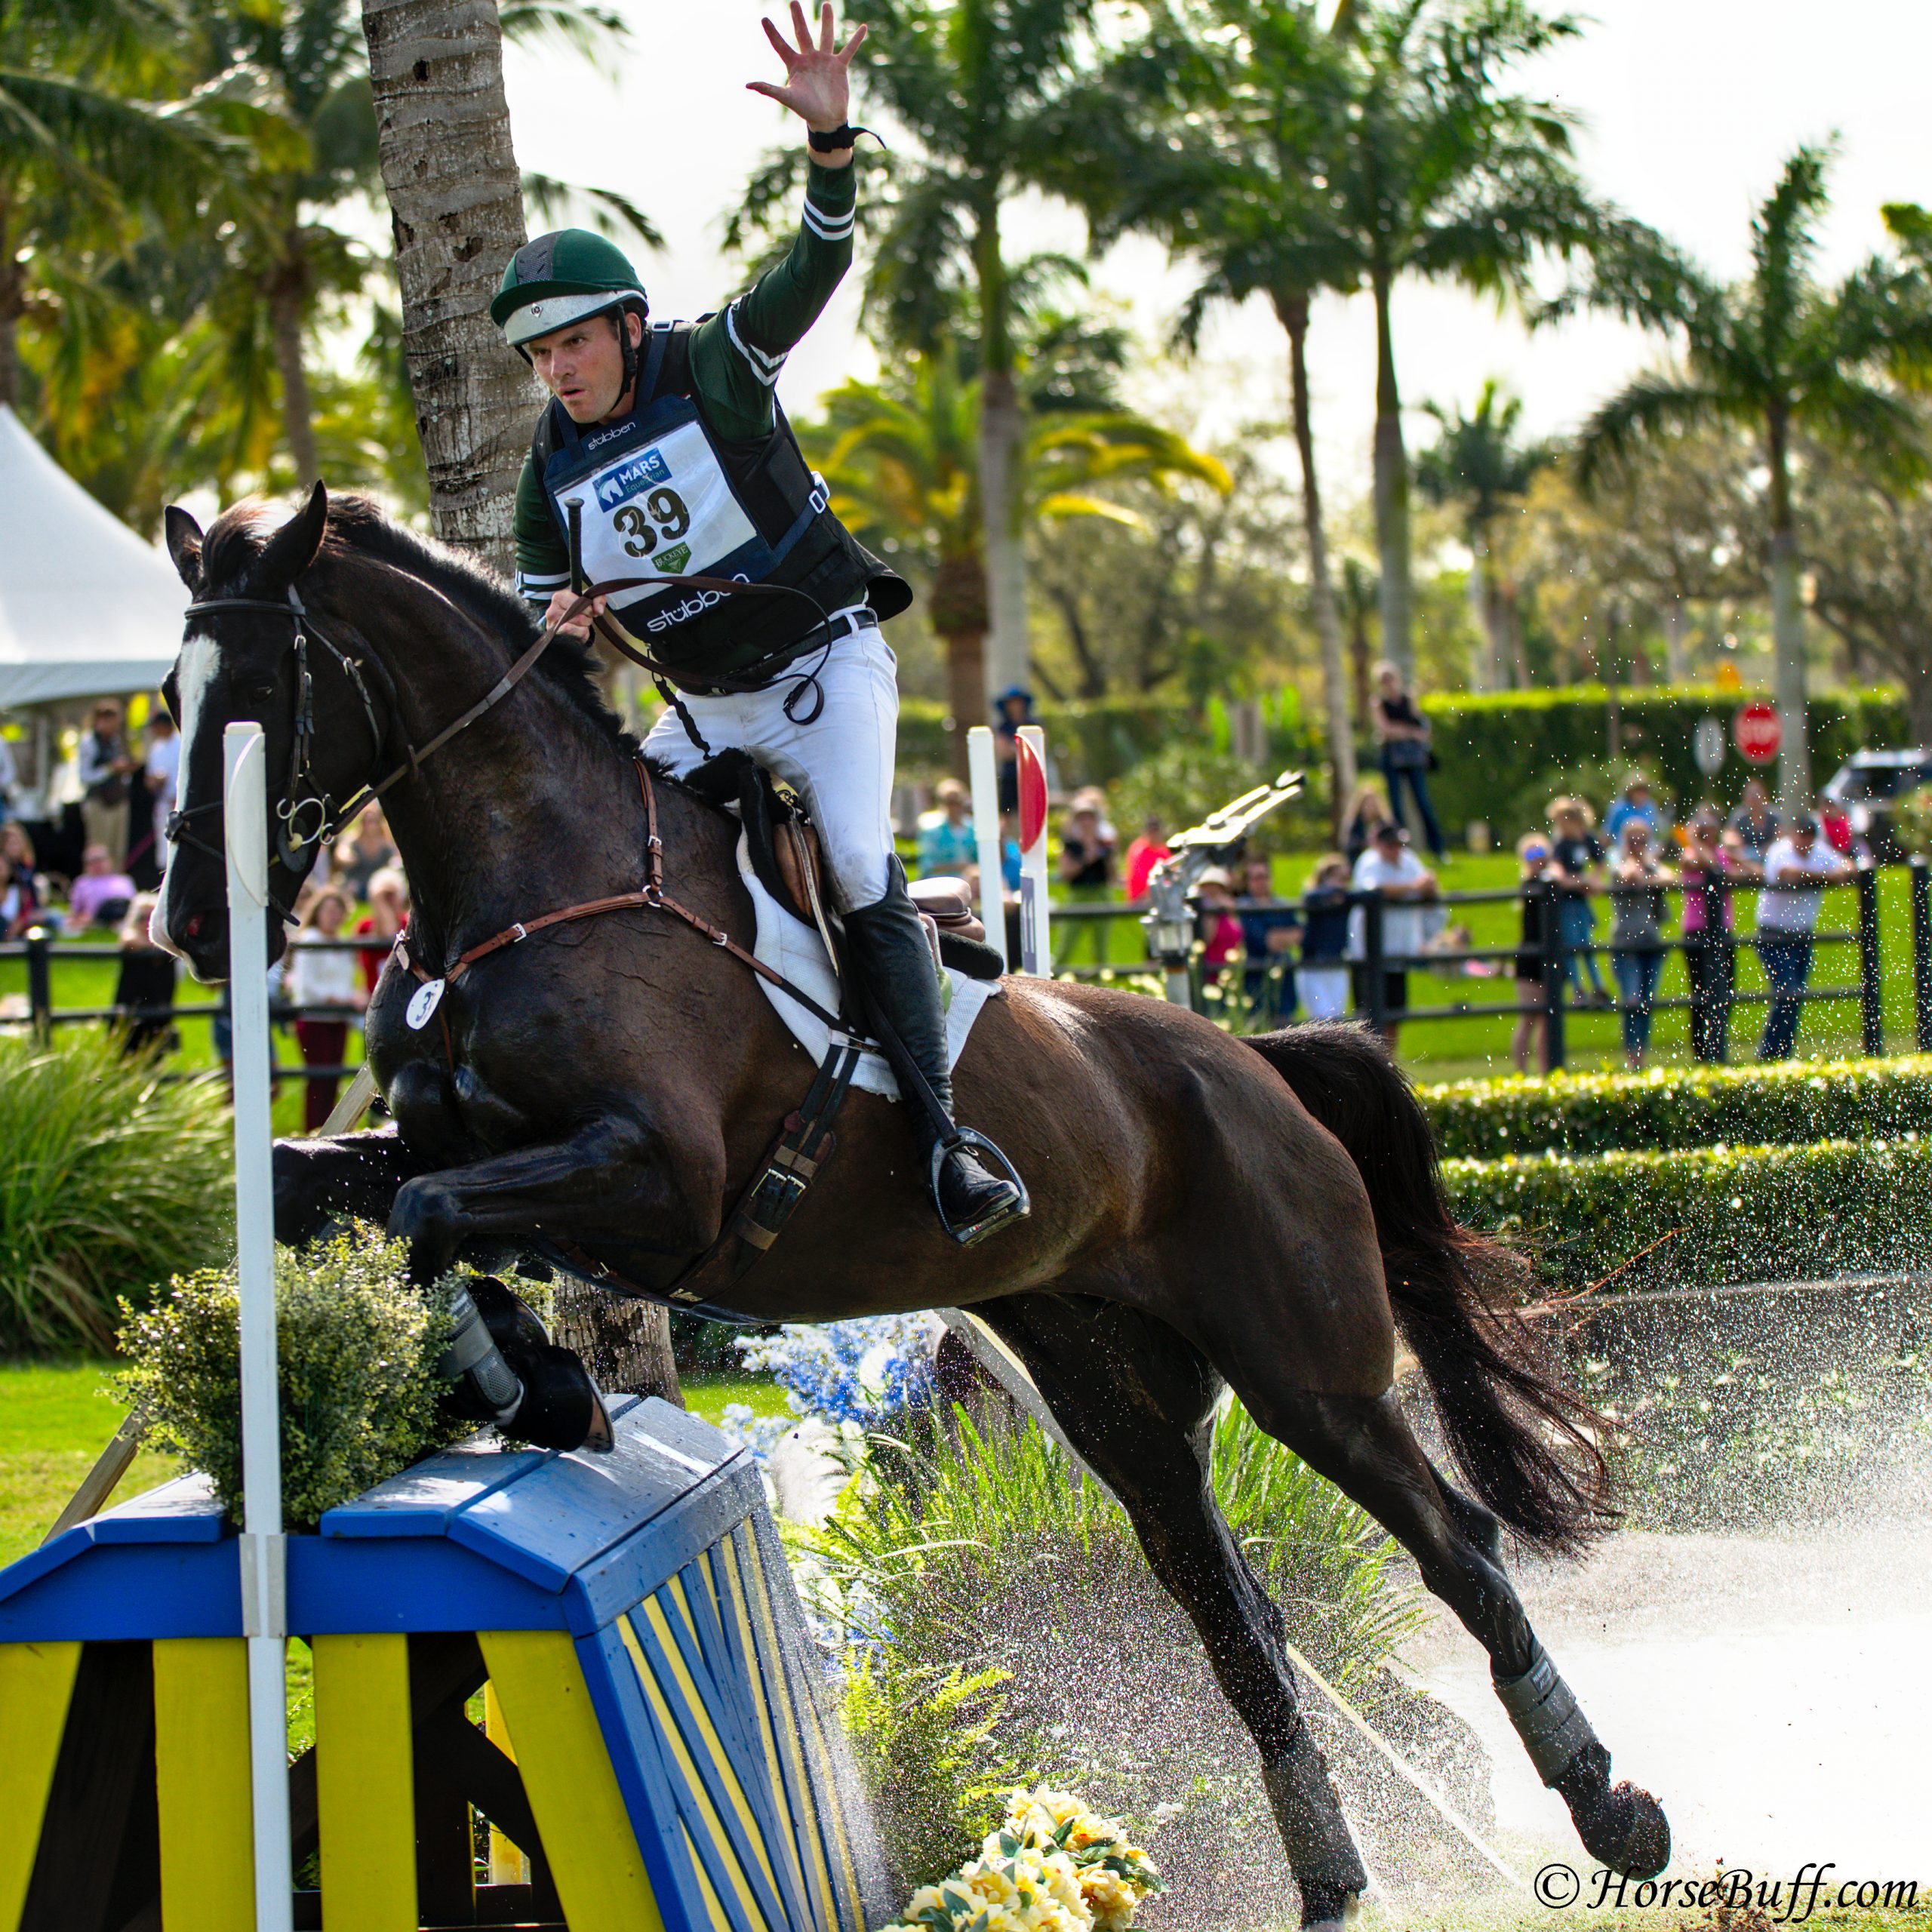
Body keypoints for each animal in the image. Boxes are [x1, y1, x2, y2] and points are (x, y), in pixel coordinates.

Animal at [150, 487, 1669, 1932]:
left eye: (260, 689)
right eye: (168, 698)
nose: (189, 927)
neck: (539, 878)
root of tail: (1257, 1064)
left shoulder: (660, 1180)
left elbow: (434, 1213)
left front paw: (533, 1384)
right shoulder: (462, 1143)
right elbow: (337, 1187)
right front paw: (525, 1382)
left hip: (1308, 1368)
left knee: (1459, 1550)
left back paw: (1614, 1812)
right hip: (1114, 1396)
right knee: (1233, 1610)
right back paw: (1334, 1880)